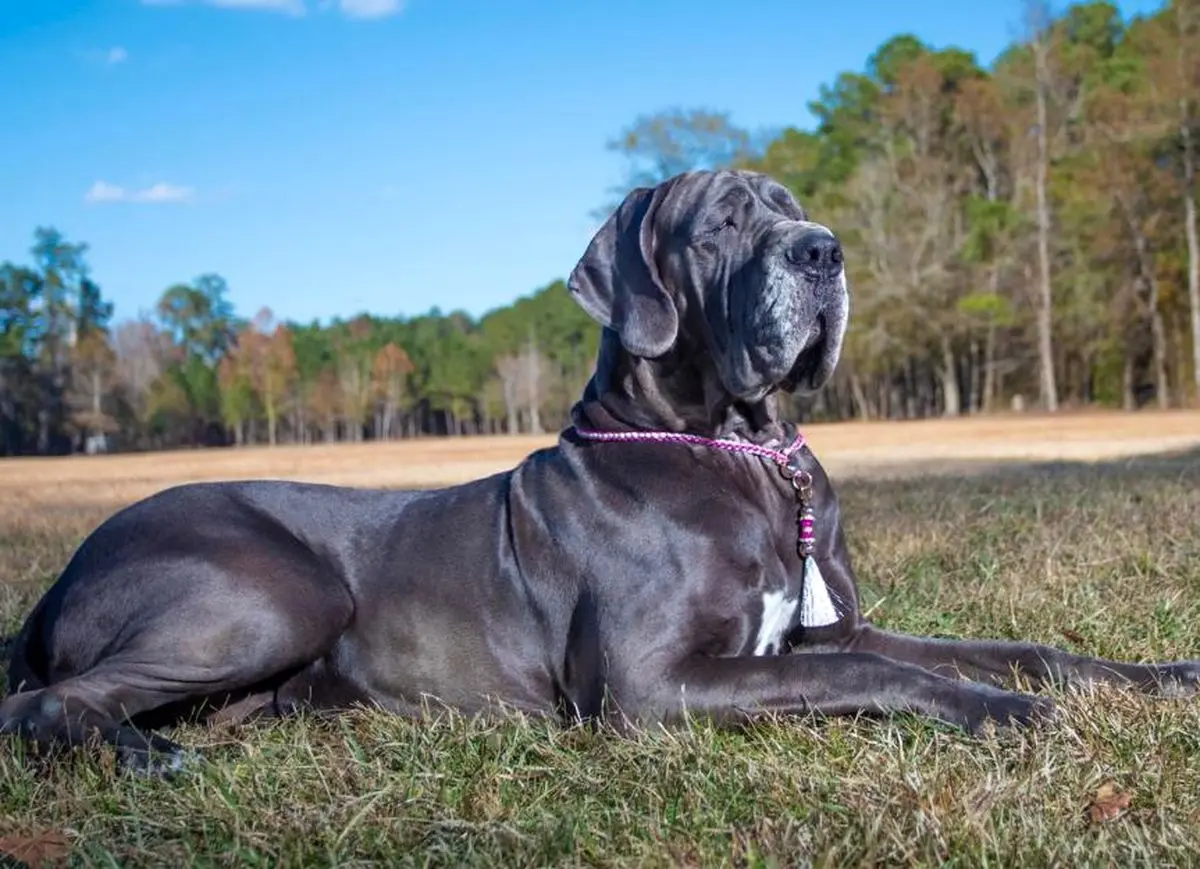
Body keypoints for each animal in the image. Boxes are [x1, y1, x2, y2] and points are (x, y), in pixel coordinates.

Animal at [2, 169, 1200, 772]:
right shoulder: (649, 683)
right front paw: (1000, 711)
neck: (740, 447)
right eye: (720, 226)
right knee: (47, 702)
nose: (823, 250)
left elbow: (1006, 645)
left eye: (793, 210)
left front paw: (1155, 675)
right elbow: (884, 673)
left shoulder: (814, 632)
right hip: (275, 590)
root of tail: (59, 577)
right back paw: (154, 763)